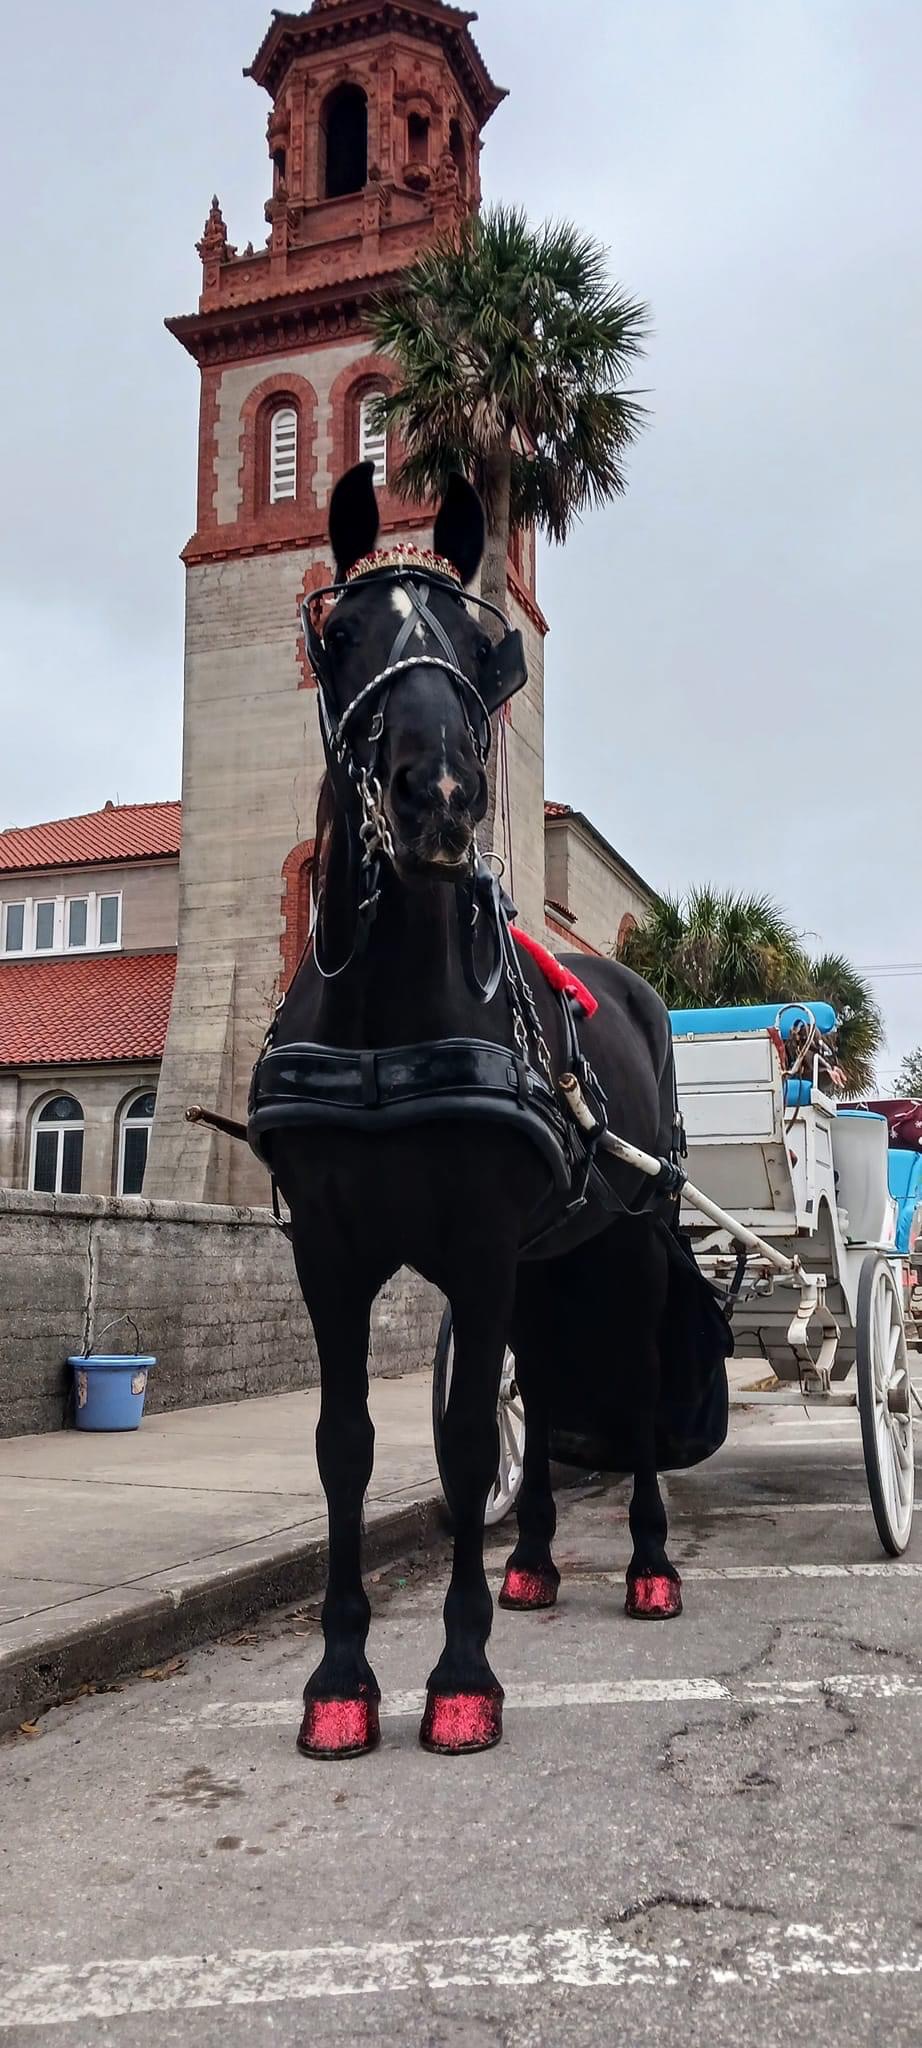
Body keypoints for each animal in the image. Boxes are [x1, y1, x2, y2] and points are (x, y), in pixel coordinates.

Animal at [251, 461, 699, 1761]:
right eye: (338, 634)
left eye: (481, 648)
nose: (441, 798)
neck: (387, 1013)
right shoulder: (332, 1250)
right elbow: (346, 1444)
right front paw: (340, 1679)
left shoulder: (478, 1245)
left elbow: (458, 1441)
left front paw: (459, 1676)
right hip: (549, 1256)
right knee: (544, 1387)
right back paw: (537, 1559)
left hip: (633, 1235)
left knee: (635, 1386)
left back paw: (647, 1565)